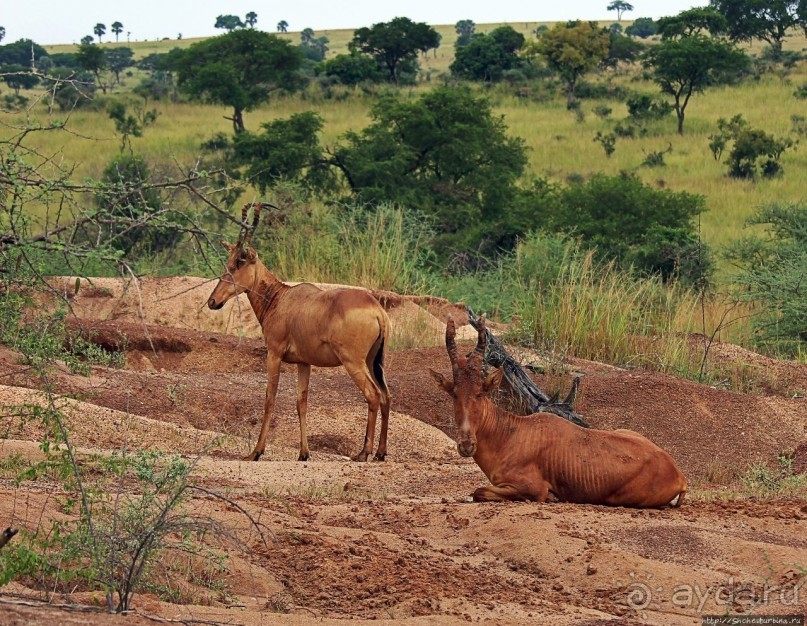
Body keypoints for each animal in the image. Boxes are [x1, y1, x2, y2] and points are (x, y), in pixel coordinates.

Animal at [208, 202, 392, 460]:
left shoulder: (274, 354)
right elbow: (301, 402)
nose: (213, 301)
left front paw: (255, 452)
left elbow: (270, 398)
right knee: (386, 395)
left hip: (353, 361)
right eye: (228, 261)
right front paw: (304, 453)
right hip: (374, 360)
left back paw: (363, 453)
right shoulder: (304, 363)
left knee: (373, 394)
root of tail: (377, 310)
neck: (280, 298)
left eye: (237, 264)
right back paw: (380, 453)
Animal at [430, 316, 688, 508]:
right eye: (454, 393)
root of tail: (679, 475)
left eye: (480, 392)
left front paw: (553, 496)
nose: (466, 445)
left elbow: (479, 491)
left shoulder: (531, 487)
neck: (512, 433)